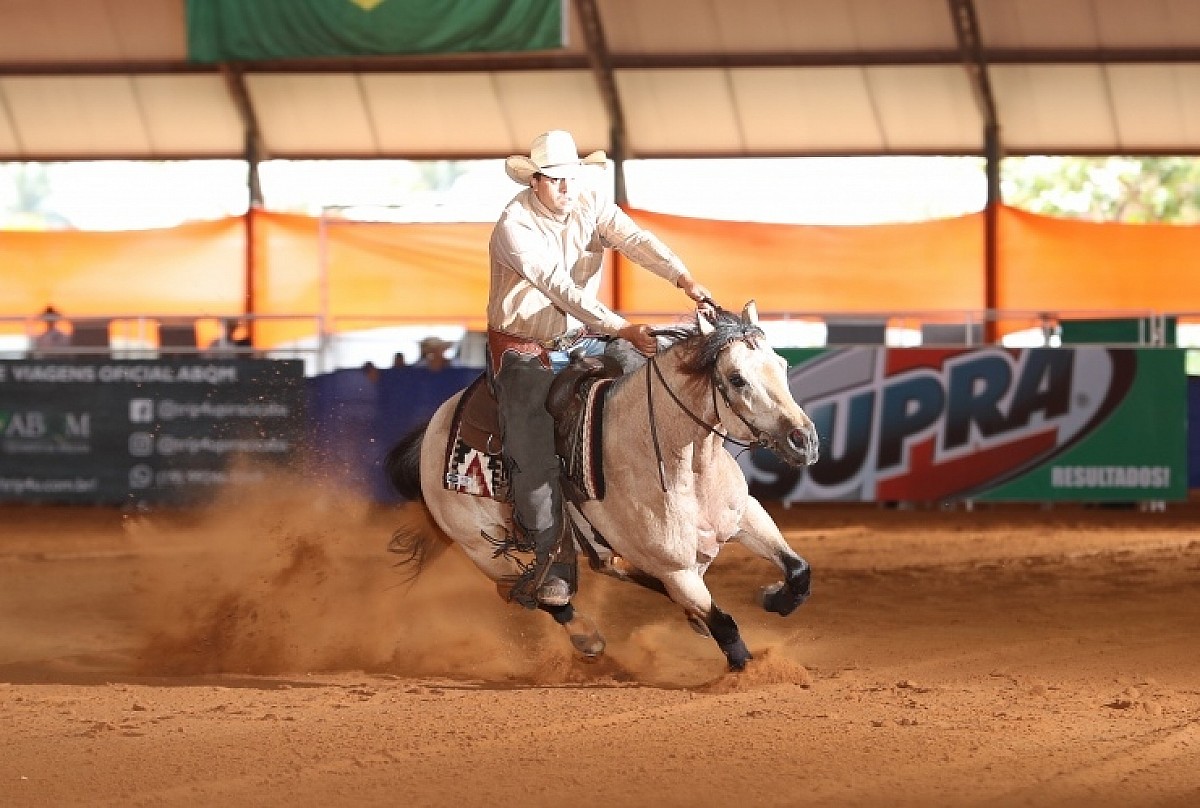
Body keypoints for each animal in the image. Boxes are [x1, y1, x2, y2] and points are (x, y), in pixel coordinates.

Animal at [388, 301, 820, 667]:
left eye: (781, 364)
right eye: (737, 378)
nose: (804, 441)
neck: (684, 467)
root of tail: (436, 426)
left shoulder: (746, 517)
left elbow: (799, 570)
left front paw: (773, 598)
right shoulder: (675, 569)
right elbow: (724, 623)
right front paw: (747, 667)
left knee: (609, 567)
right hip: (481, 548)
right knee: (530, 592)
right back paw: (585, 634)